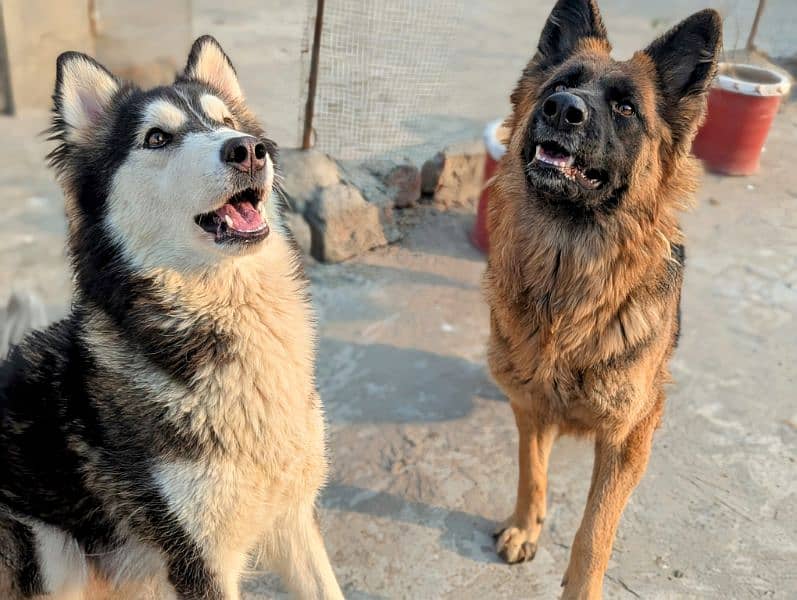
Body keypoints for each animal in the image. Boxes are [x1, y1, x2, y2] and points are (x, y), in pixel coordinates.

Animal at [0, 36, 342, 600]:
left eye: (226, 121)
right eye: (157, 137)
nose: (247, 149)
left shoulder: (292, 516)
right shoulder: (197, 558)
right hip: (53, 552)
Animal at [486, 0, 720, 596]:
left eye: (625, 108)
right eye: (560, 85)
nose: (561, 109)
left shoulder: (628, 436)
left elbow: (595, 530)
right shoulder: (530, 404)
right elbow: (531, 469)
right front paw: (526, 524)